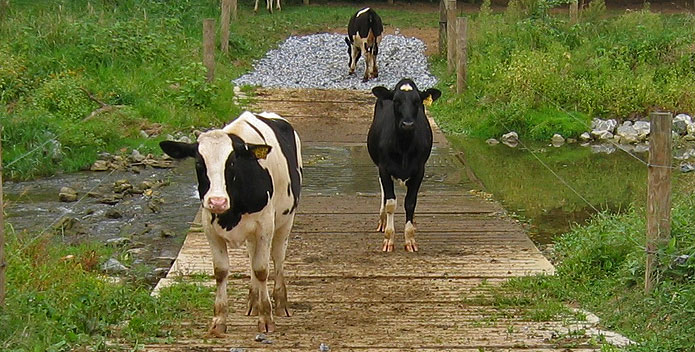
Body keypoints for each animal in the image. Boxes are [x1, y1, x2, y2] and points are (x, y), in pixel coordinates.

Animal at [160, 111, 302, 334]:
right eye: (199, 163)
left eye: (233, 162)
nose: (217, 201)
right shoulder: (210, 229)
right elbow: (221, 271)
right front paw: (219, 320)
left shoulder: (264, 226)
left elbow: (262, 269)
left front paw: (266, 318)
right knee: (252, 257)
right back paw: (253, 301)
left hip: (285, 220)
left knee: (278, 257)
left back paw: (280, 303)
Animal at [370, 78, 440, 252]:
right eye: (396, 101)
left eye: (417, 102)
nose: (408, 124)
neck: (404, 147)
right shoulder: (384, 168)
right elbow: (391, 203)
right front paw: (389, 239)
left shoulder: (419, 170)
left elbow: (410, 203)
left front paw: (410, 239)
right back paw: (382, 220)